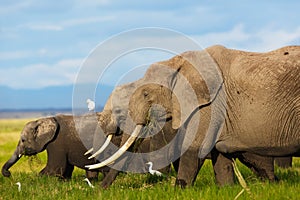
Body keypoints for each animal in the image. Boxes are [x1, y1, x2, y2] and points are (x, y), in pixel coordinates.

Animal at [86, 45, 298, 188]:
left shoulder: (210, 103)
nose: (100, 190)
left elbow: (196, 147)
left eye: (146, 95)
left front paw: (179, 189)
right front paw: (226, 189)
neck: (178, 61)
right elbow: (218, 155)